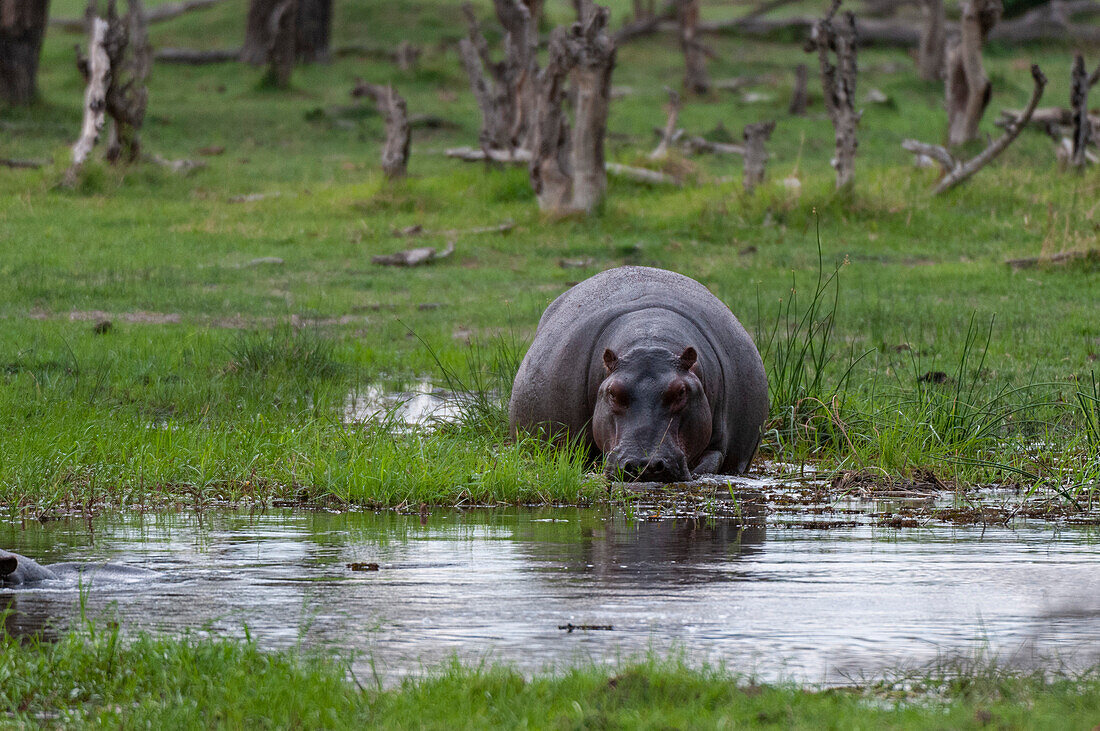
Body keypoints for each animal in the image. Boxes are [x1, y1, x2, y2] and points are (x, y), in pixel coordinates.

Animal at [506, 264, 765, 481]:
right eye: (613, 392)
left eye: (681, 392)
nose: (645, 465)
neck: (649, 340)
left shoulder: (717, 446)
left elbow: (710, 461)